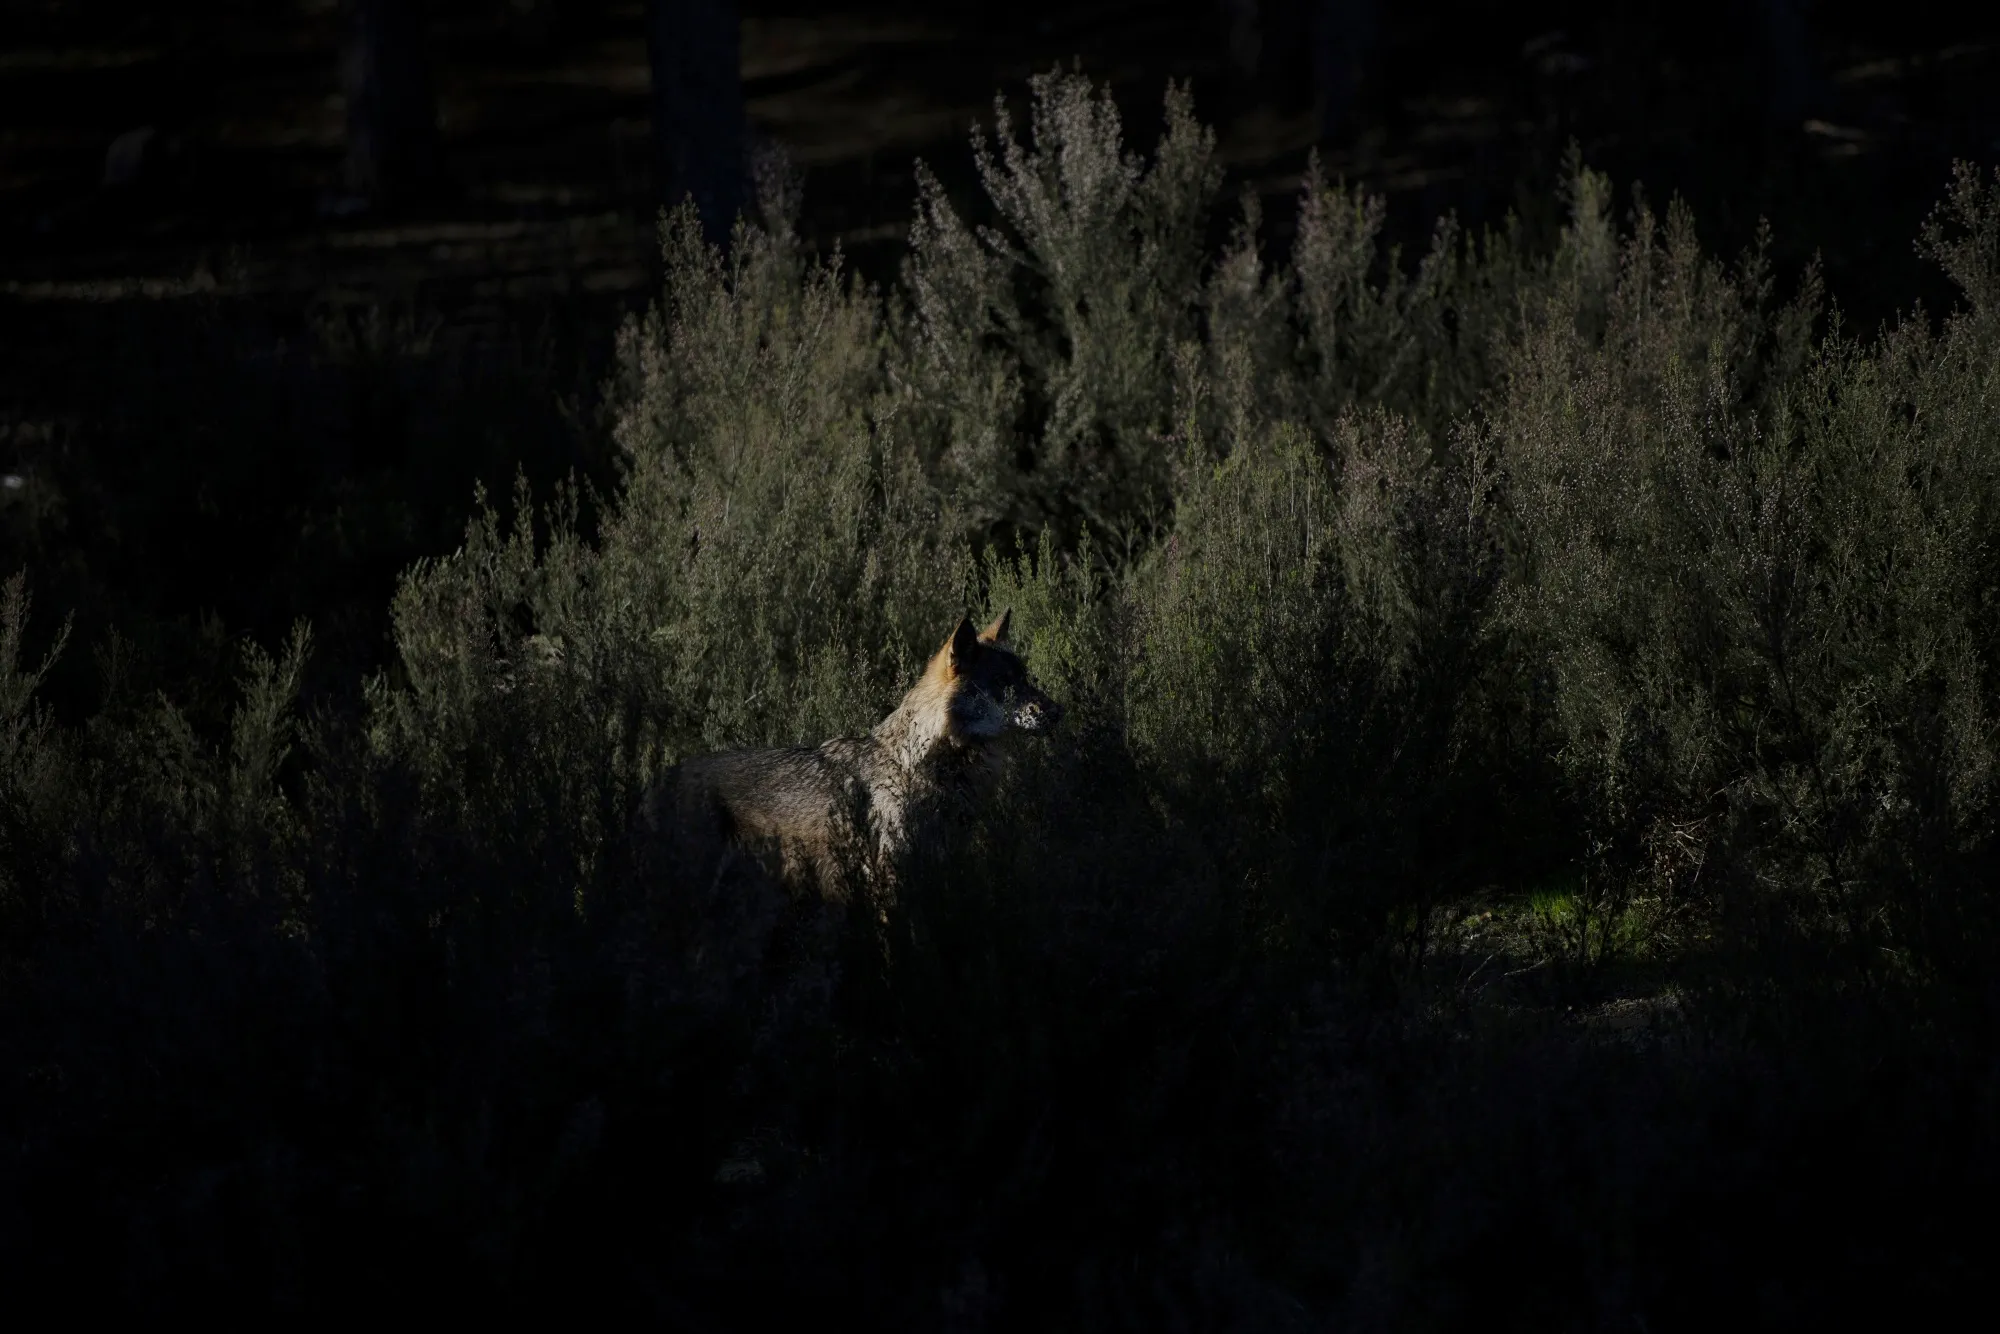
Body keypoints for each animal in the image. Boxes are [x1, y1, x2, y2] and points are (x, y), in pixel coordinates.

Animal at [650, 609, 1062, 900]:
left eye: (1026, 680)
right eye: (1004, 685)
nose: (1059, 712)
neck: (919, 765)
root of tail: (661, 778)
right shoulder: (889, 879)